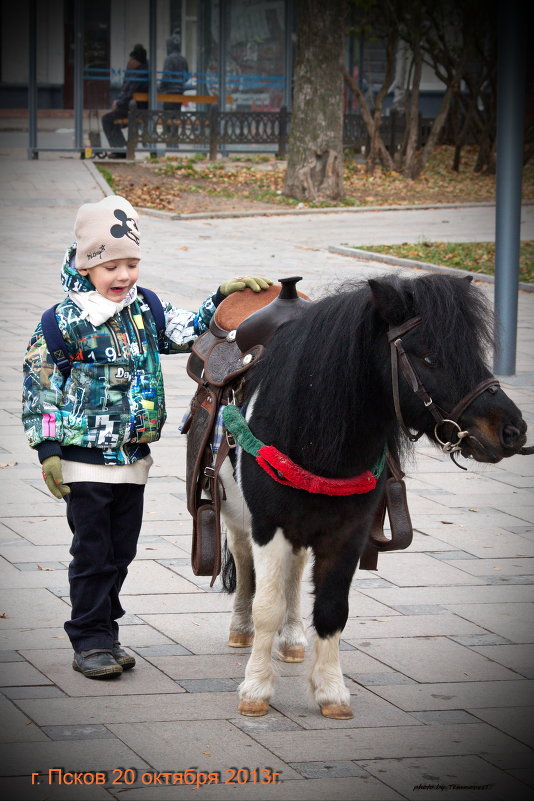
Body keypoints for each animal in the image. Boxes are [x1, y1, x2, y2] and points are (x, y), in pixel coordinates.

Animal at [219, 276, 532, 720]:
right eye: (430, 357)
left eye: (474, 352)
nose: (512, 430)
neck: (313, 437)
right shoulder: (269, 526)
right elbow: (267, 606)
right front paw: (256, 689)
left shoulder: (348, 532)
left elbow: (332, 609)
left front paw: (331, 692)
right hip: (237, 514)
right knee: (245, 564)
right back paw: (241, 628)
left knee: (294, 575)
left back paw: (293, 639)